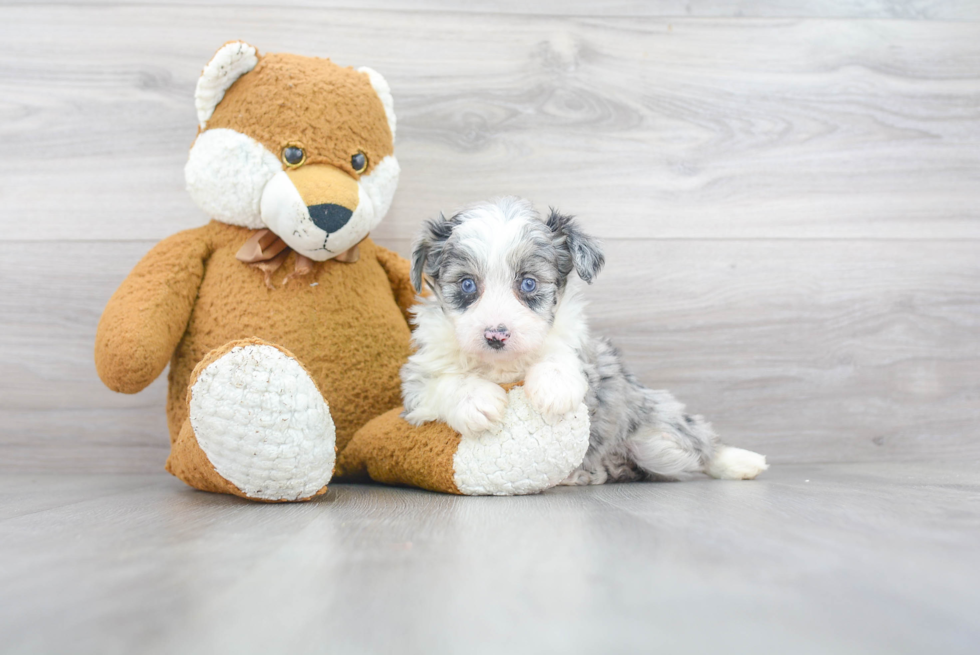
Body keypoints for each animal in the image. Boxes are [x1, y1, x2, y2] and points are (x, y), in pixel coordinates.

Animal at [402, 197, 768, 484]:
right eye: (467, 284)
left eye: (529, 283)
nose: (496, 334)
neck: (504, 365)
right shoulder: (414, 388)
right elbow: (443, 382)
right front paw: (476, 400)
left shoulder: (588, 355)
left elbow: (560, 356)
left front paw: (554, 388)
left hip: (655, 418)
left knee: (698, 438)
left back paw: (741, 462)